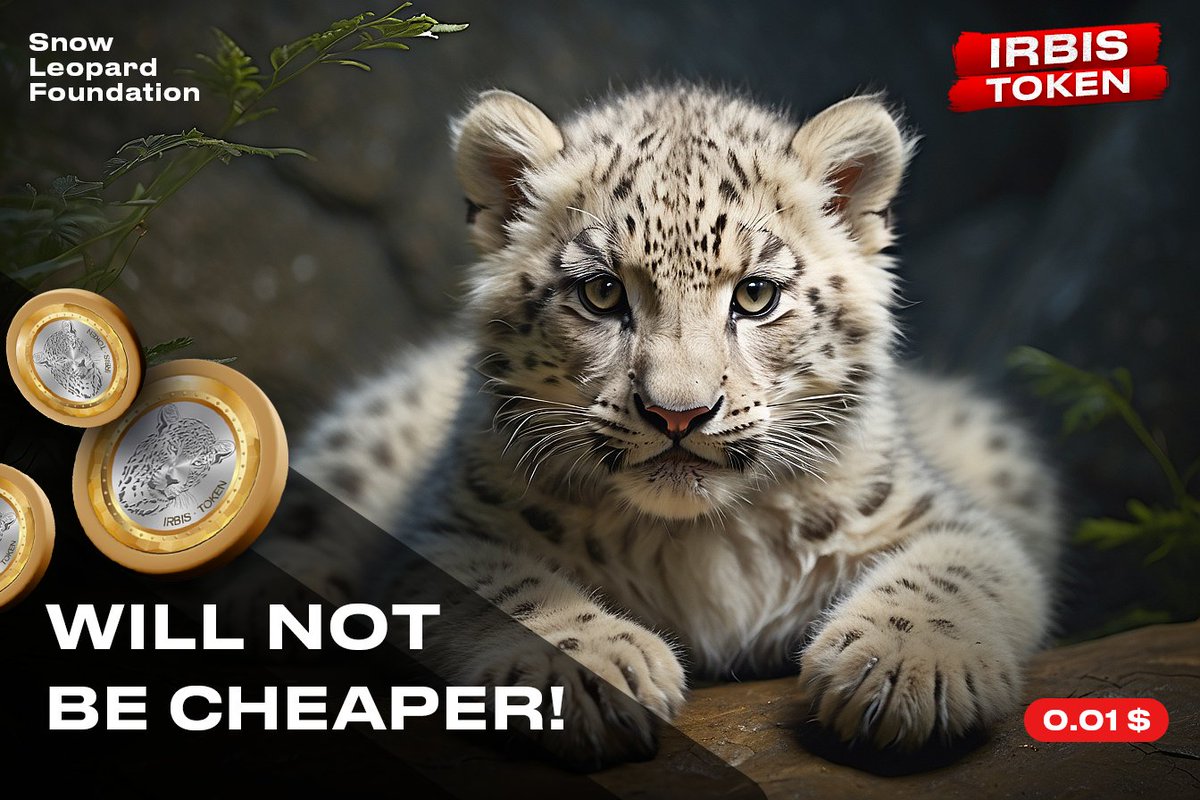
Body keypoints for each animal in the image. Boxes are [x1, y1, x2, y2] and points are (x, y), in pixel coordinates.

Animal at [279, 85, 1063, 769]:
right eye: (601, 292)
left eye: (756, 294)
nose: (677, 412)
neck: (699, 542)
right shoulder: (443, 535)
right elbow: (510, 590)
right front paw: (592, 673)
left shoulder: (944, 517)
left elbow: (956, 574)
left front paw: (898, 669)